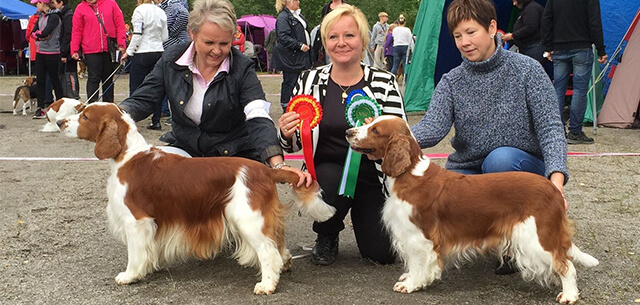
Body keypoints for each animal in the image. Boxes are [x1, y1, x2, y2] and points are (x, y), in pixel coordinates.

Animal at [56, 102, 336, 292]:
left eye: (85, 116)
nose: (60, 123)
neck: (128, 154)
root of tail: (266, 170)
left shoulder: (136, 220)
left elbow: (135, 253)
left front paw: (130, 275)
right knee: (277, 243)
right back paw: (284, 265)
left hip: (247, 218)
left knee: (268, 251)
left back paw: (266, 285)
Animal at [344, 115, 600, 302]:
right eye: (368, 123)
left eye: (375, 130)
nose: (348, 132)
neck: (409, 173)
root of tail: (553, 190)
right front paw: (409, 278)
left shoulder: (418, 236)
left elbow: (417, 262)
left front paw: (411, 284)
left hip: (535, 238)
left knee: (566, 264)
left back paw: (569, 295)